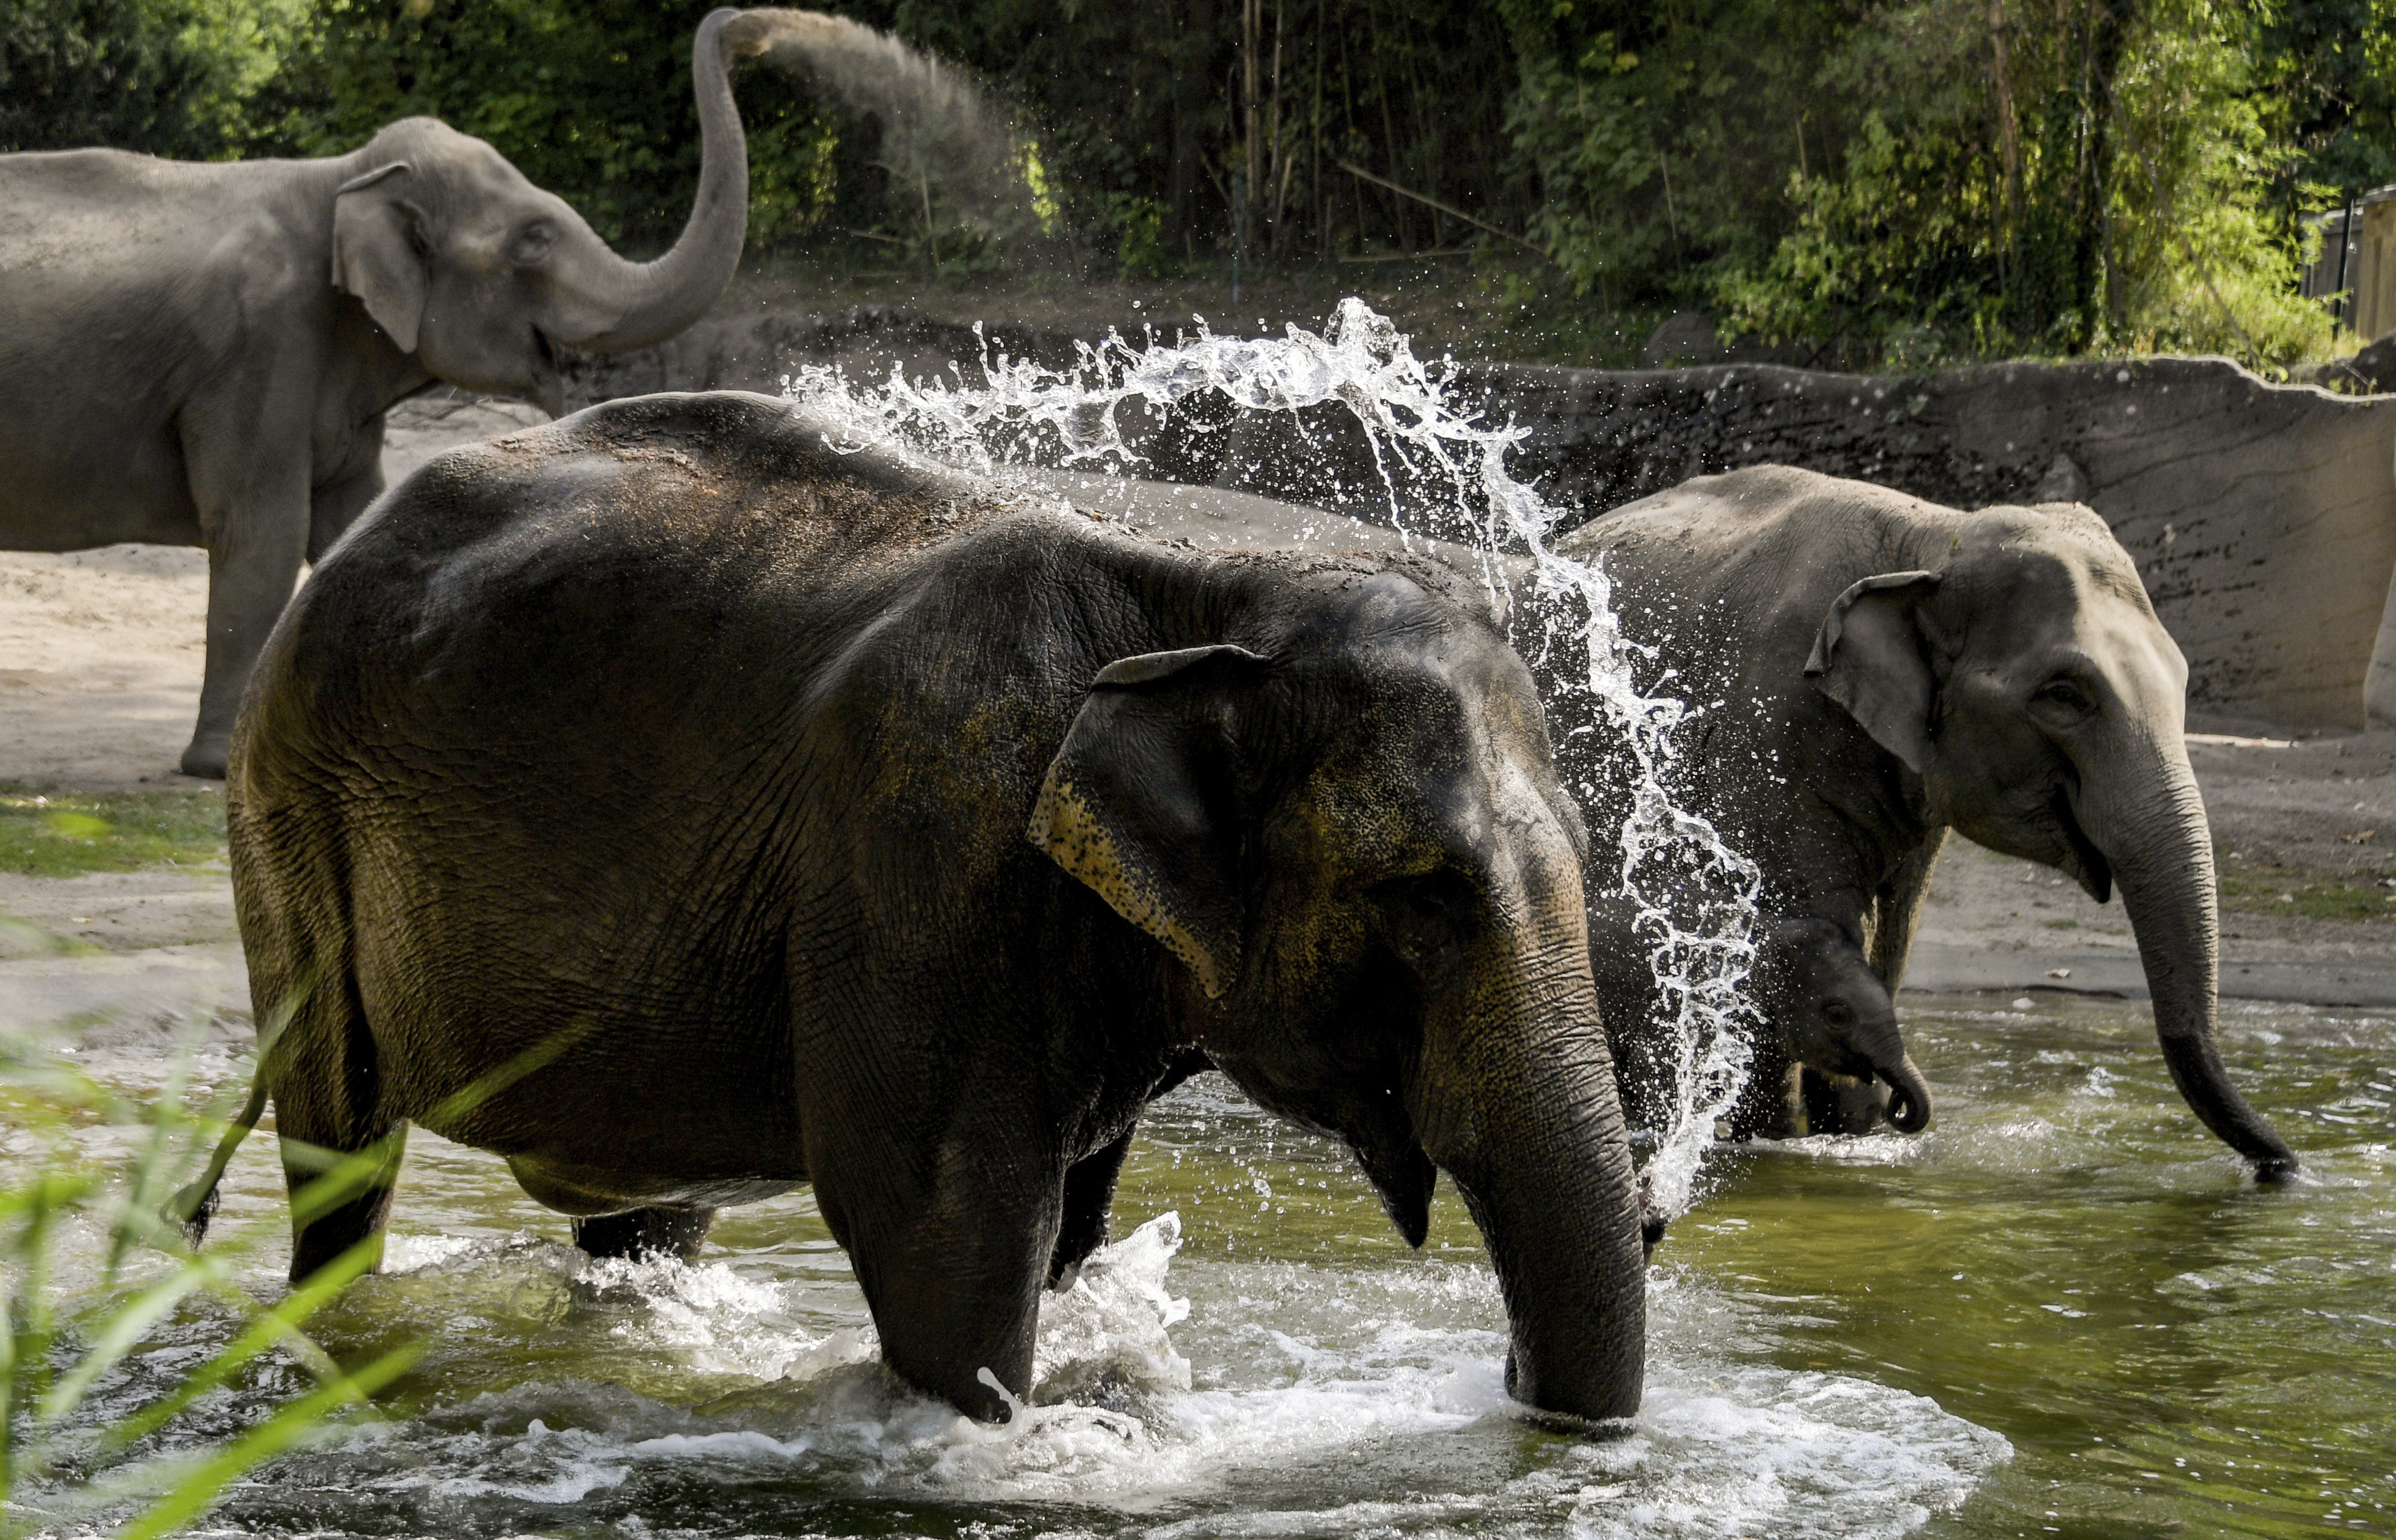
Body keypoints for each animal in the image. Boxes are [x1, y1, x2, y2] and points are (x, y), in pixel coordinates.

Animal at [0, 9, 805, 785]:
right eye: (535, 240)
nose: (750, 28)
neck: (343, 180)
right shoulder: (256, 350)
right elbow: (261, 533)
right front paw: (214, 767)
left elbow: (358, 522)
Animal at [182, 392, 1648, 1427]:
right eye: (1423, 895)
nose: (1513, 1396)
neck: (1211, 586)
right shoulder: (921, 845)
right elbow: (943, 1228)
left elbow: (1064, 1228)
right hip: (288, 812)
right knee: (339, 1149)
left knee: (644, 1214)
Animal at [1562, 464, 2290, 1173]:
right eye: (2063, 695)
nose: (2278, 1166)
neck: (1932, 540)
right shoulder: (1765, 734)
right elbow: (1808, 921)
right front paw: (1792, 1133)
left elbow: (1893, 929)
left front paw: (1850, 1130)